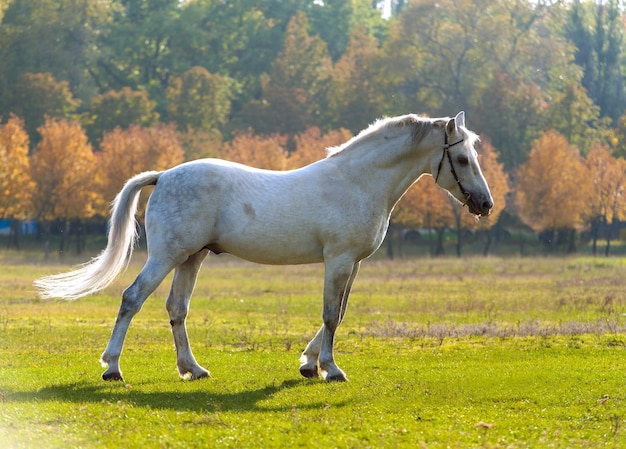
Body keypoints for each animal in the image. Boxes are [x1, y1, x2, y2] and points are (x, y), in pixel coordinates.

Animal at [35, 112, 492, 382]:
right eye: (462, 159)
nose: (485, 204)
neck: (358, 181)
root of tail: (164, 175)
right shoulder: (339, 260)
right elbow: (330, 315)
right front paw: (330, 369)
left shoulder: (354, 264)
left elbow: (339, 313)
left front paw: (309, 363)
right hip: (167, 256)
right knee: (132, 298)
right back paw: (112, 367)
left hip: (192, 258)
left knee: (176, 309)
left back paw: (192, 369)